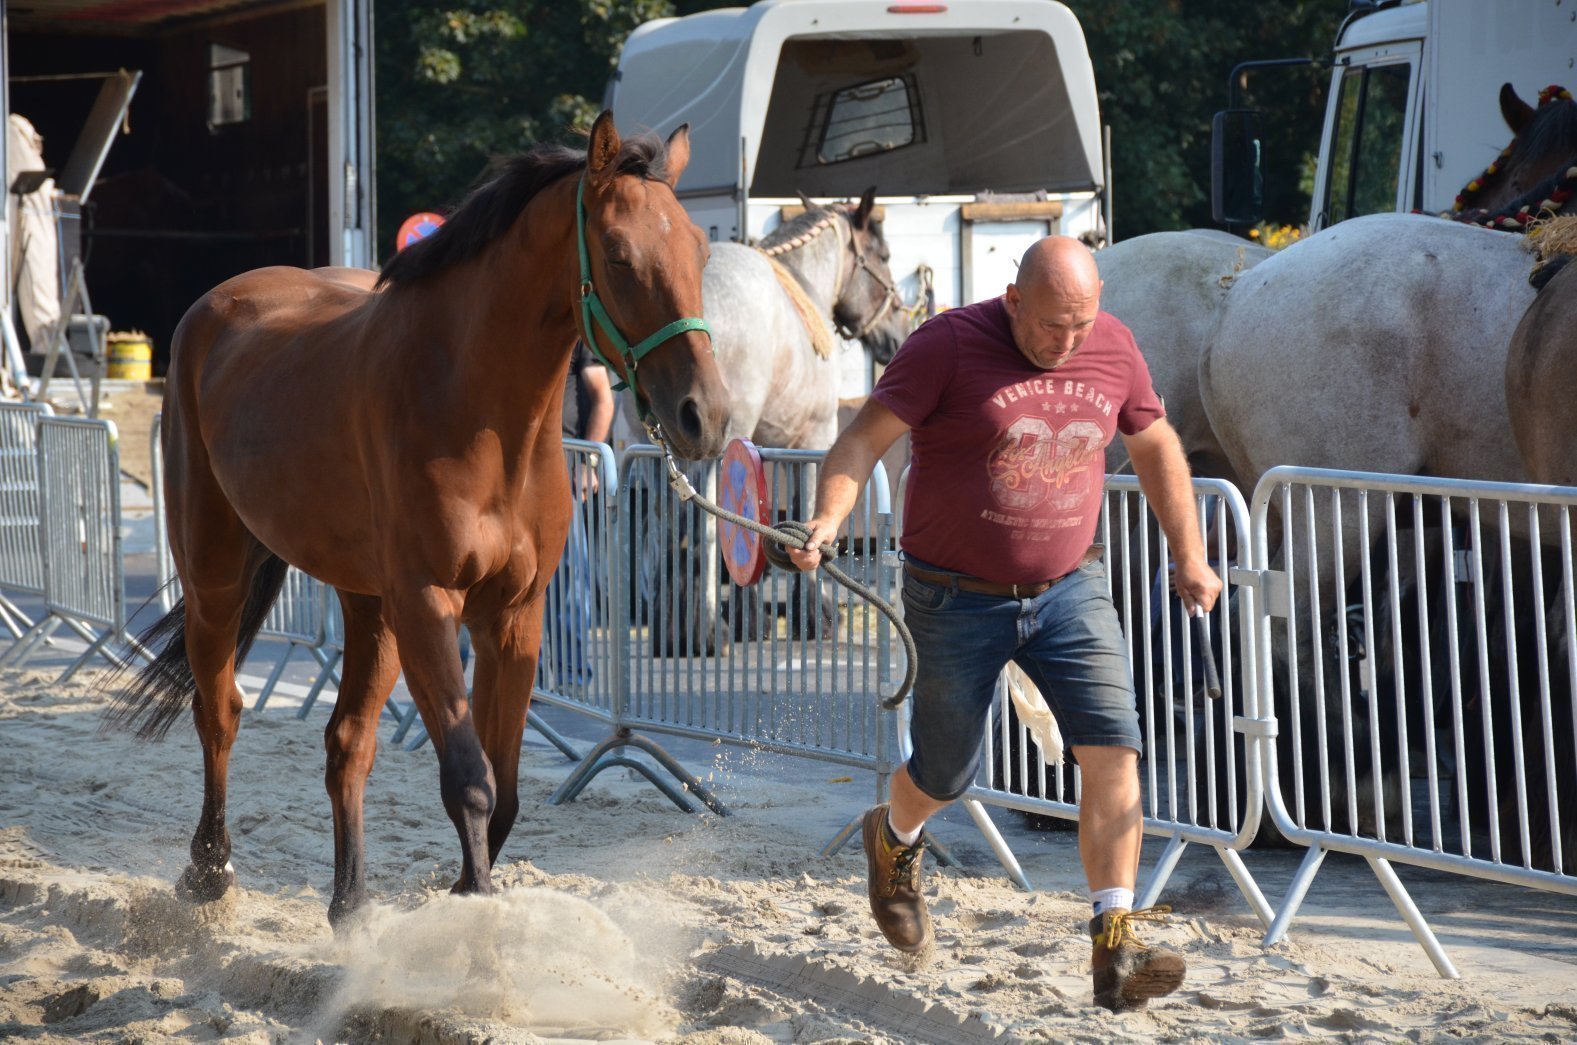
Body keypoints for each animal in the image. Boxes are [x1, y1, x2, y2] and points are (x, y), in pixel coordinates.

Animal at [105, 113, 732, 924]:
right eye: (621, 255)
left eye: (698, 251)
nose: (705, 417)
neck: (476, 413)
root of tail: (216, 306)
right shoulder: (429, 604)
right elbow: (470, 778)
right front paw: (470, 909)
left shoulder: (513, 616)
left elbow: (503, 791)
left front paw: (465, 899)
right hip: (219, 583)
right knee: (221, 711)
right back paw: (210, 869)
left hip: (368, 605)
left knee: (347, 742)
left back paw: (349, 906)